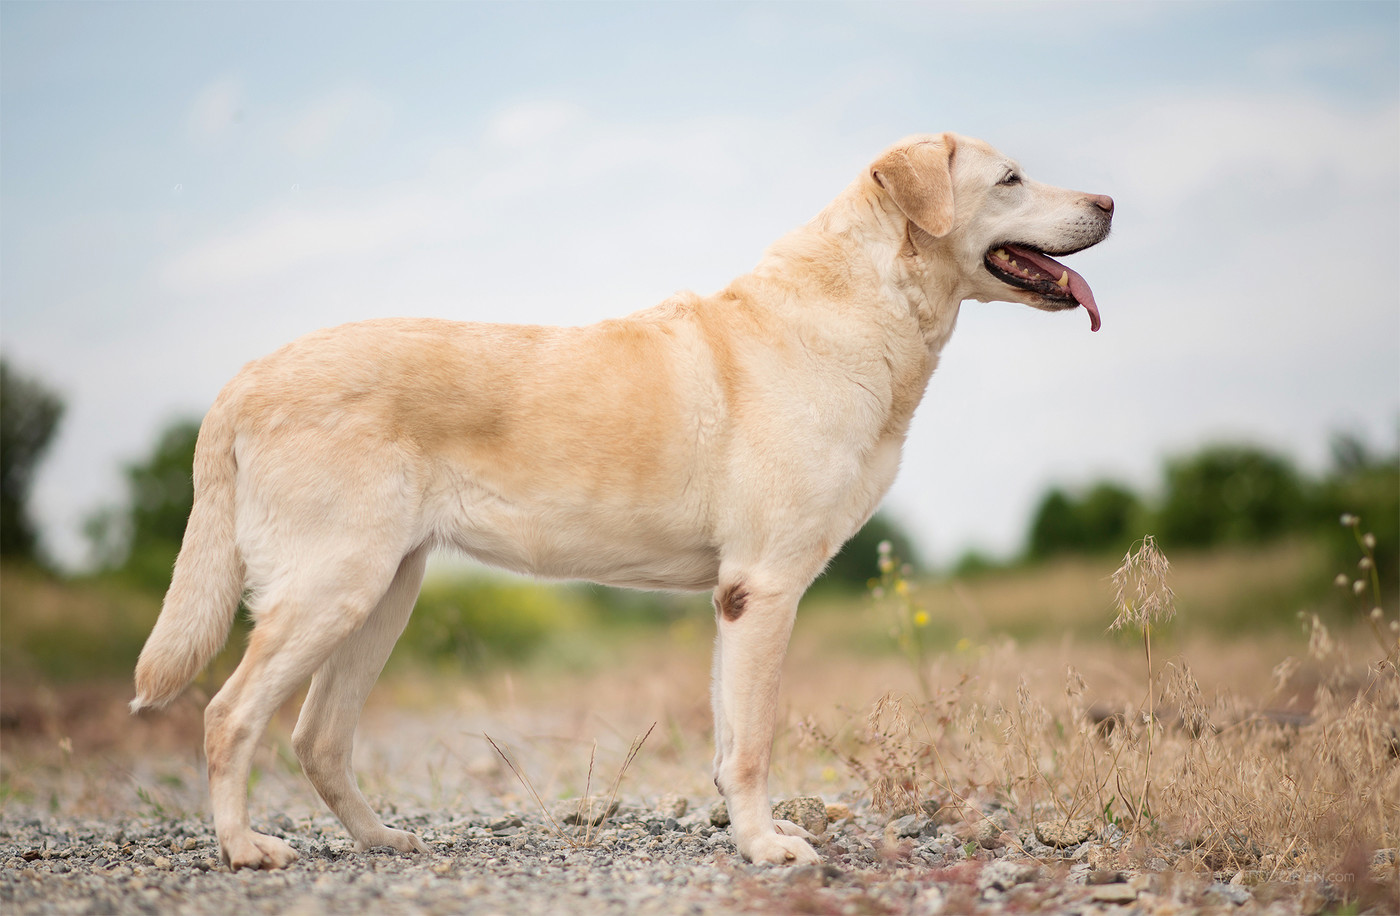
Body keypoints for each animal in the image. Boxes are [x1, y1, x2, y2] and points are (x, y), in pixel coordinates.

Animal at [131, 133, 1114, 873]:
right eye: (1011, 178)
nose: (1109, 202)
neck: (862, 309)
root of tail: (245, 378)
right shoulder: (766, 587)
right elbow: (753, 740)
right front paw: (765, 847)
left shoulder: (734, 597)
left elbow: (726, 735)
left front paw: (739, 831)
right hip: (333, 586)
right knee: (229, 716)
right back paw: (244, 848)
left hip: (381, 594)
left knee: (317, 737)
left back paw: (383, 841)